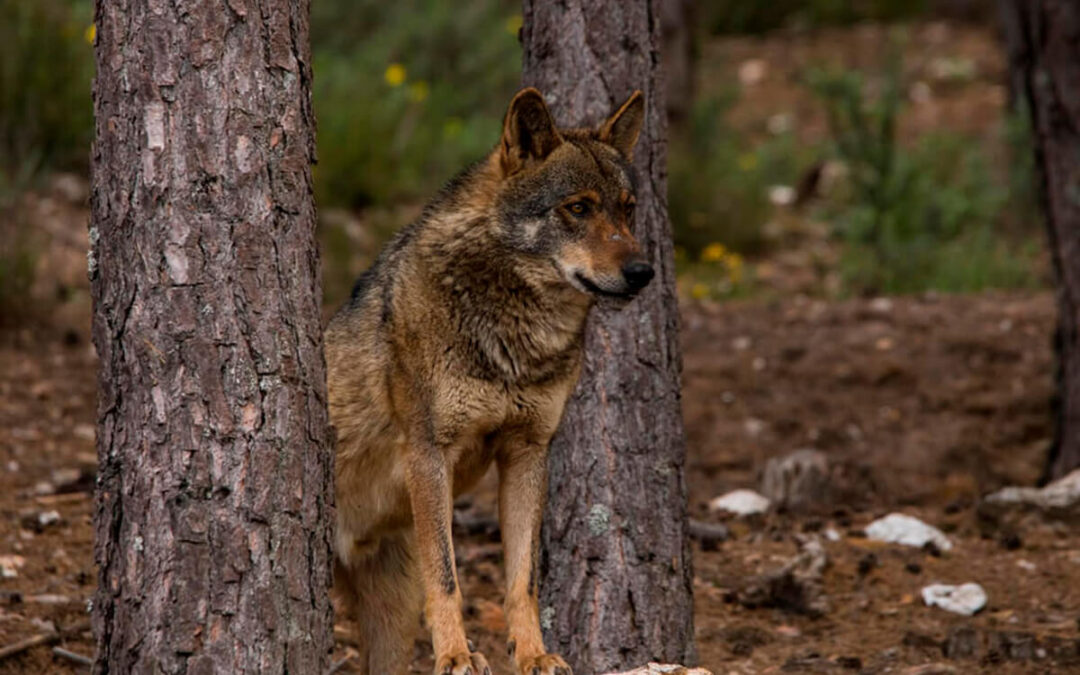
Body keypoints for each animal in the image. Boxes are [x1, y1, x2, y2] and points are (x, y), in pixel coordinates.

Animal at [326, 87, 654, 675]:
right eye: (578, 208)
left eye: (628, 207)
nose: (643, 273)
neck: (516, 339)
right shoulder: (429, 453)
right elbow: (448, 578)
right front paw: (457, 656)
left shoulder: (528, 452)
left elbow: (523, 580)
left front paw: (535, 654)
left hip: (390, 623)